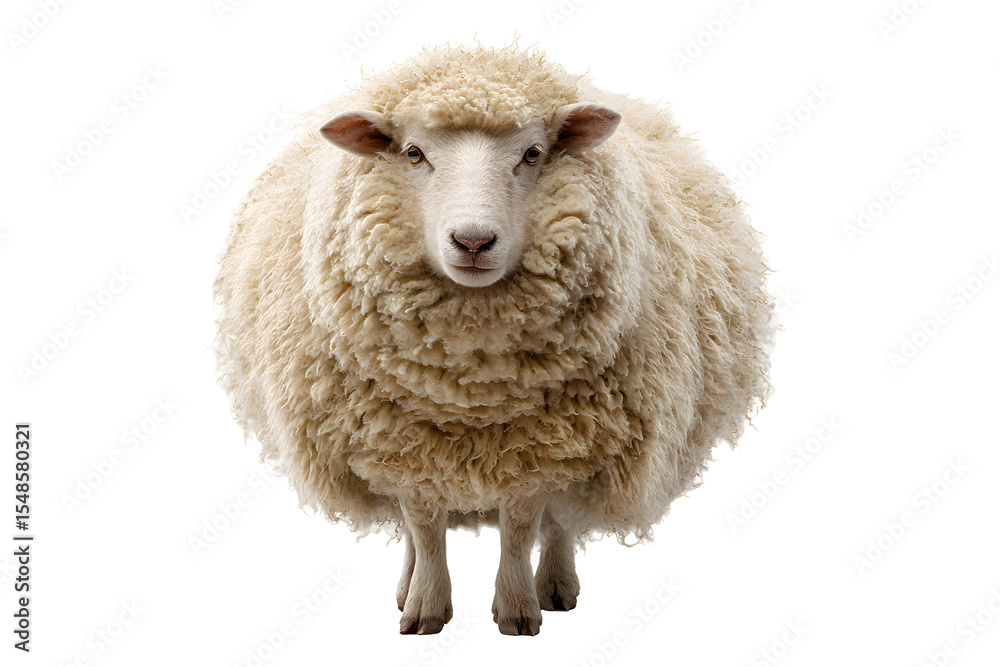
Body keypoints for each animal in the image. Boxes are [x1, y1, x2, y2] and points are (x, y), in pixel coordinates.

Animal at [214, 44, 774, 636]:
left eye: (533, 153)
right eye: (413, 152)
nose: (473, 241)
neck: (473, 388)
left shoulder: (543, 446)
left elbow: (523, 526)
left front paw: (517, 610)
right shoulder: (400, 444)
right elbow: (424, 525)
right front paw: (425, 607)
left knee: (561, 521)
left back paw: (556, 586)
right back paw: (407, 586)